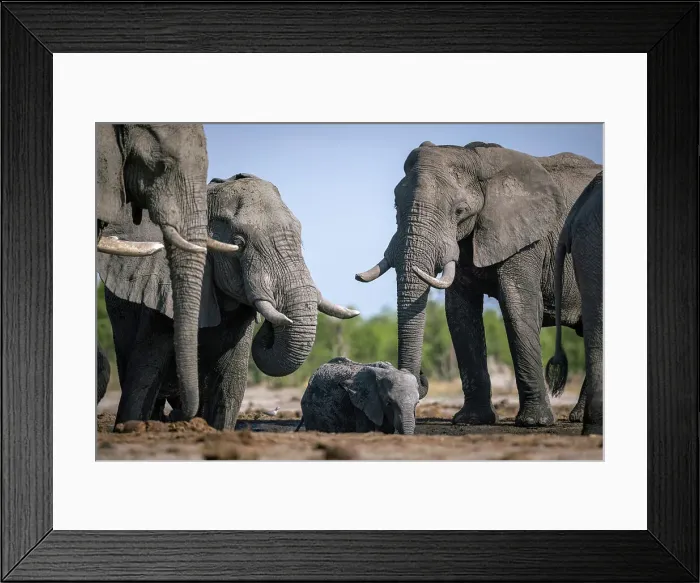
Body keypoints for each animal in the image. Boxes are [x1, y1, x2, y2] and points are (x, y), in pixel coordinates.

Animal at [98, 173, 359, 430]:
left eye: (299, 239)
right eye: (239, 243)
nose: (277, 321)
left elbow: (231, 384)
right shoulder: (159, 296)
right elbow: (143, 376)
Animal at [356, 141, 602, 427]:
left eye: (460, 211)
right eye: (396, 206)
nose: (420, 379)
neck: (476, 159)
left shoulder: (528, 240)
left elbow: (518, 305)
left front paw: (534, 422)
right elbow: (460, 313)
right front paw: (471, 420)